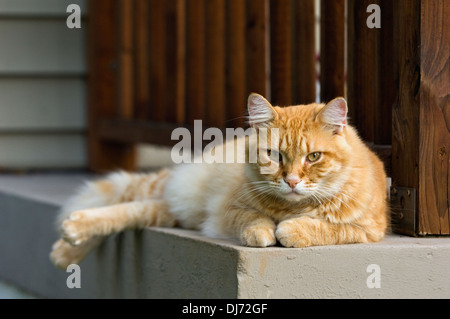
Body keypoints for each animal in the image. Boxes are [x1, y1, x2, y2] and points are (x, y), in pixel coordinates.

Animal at [48, 93, 386, 270]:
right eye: (274, 155)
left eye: (313, 157)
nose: (290, 180)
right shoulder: (230, 210)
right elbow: (253, 220)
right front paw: (264, 231)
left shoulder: (369, 229)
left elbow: (329, 228)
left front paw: (293, 229)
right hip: (180, 197)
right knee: (127, 201)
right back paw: (70, 235)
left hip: (175, 212)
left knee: (137, 211)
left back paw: (68, 247)